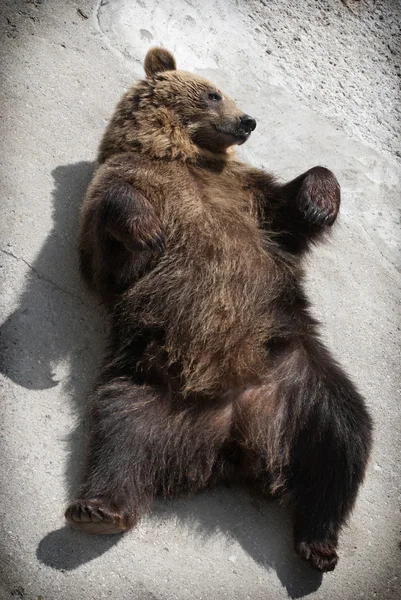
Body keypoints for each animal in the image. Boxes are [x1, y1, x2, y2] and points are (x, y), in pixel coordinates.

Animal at [65, 45, 372, 572]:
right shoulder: (122, 186)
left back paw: (319, 542)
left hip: (298, 371)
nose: (248, 120)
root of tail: (240, 434)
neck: (178, 153)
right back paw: (98, 507)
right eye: (213, 93)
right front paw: (147, 228)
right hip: (151, 382)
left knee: (344, 435)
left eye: (227, 94)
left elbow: (292, 205)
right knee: (120, 429)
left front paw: (319, 200)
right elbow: (111, 238)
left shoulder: (248, 194)